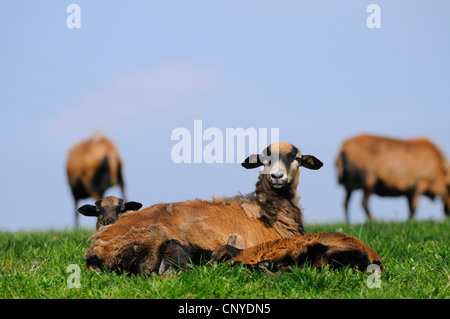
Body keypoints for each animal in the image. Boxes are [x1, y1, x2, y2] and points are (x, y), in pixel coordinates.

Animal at [83, 142, 324, 276]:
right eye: (265, 158)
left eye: (297, 158)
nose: (277, 177)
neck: (266, 211)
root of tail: (94, 250)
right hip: (152, 242)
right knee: (148, 274)